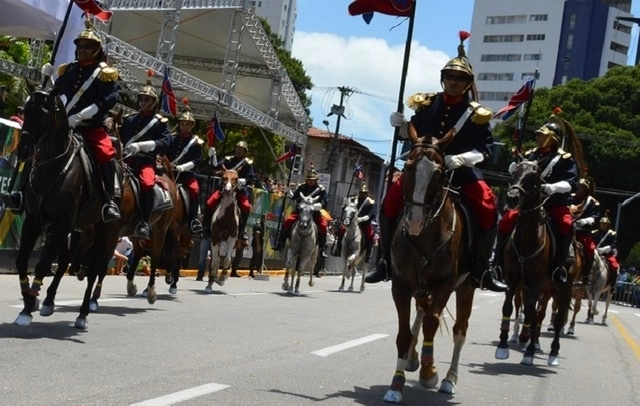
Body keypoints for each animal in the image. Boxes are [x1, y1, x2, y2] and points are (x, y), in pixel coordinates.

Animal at [13, 89, 121, 330]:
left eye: (43, 113)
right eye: (25, 110)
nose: (23, 150)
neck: (54, 167)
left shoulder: (61, 223)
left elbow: (43, 264)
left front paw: (27, 308)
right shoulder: (34, 220)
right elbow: (22, 260)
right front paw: (30, 300)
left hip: (104, 233)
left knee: (93, 271)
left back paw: (83, 314)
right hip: (77, 229)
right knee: (65, 262)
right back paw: (48, 302)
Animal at [380, 127, 476, 402]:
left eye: (440, 172)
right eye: (408, 167)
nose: (413, 221)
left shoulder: (445, 285)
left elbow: (433, 322)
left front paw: (429, 372)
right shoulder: (401, 285)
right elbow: (404, 334)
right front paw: (396, 384)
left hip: (466, 288)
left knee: (459, 330)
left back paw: (449, 379)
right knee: (421, 313)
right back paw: (413, 358)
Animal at [496, 160, 576, 366]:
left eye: (533, 177)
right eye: (514, 173)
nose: (512, 198)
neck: (527, 238)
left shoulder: (536, 281)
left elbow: (532, 311)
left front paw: (528, 346)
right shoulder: (512, 278)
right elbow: (509, 307)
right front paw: (502, 346)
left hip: (563, 287)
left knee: (558, 317)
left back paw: (553, 353)